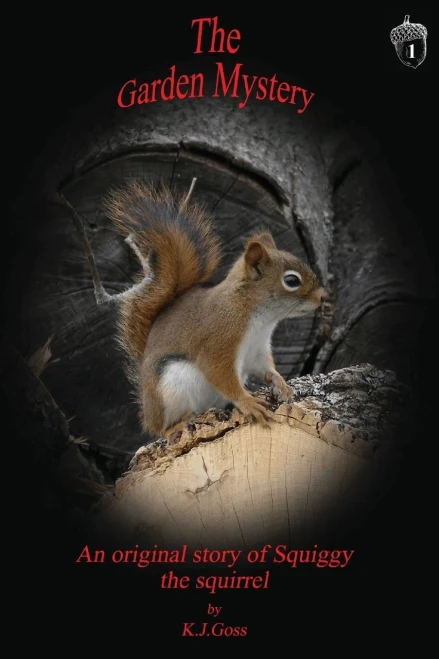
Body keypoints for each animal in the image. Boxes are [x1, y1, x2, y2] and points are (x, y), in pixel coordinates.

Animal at [102, 180, 326, 441]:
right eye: (291, 281)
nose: (322, 297)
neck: (257, 315)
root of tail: (148, 408)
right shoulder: (219, 341)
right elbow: (221, 375)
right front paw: (247, 402)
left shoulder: (258, 349)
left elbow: (264, 367)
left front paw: (279, 381)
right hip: (169, 389)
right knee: (159, 429)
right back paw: (175, 426)